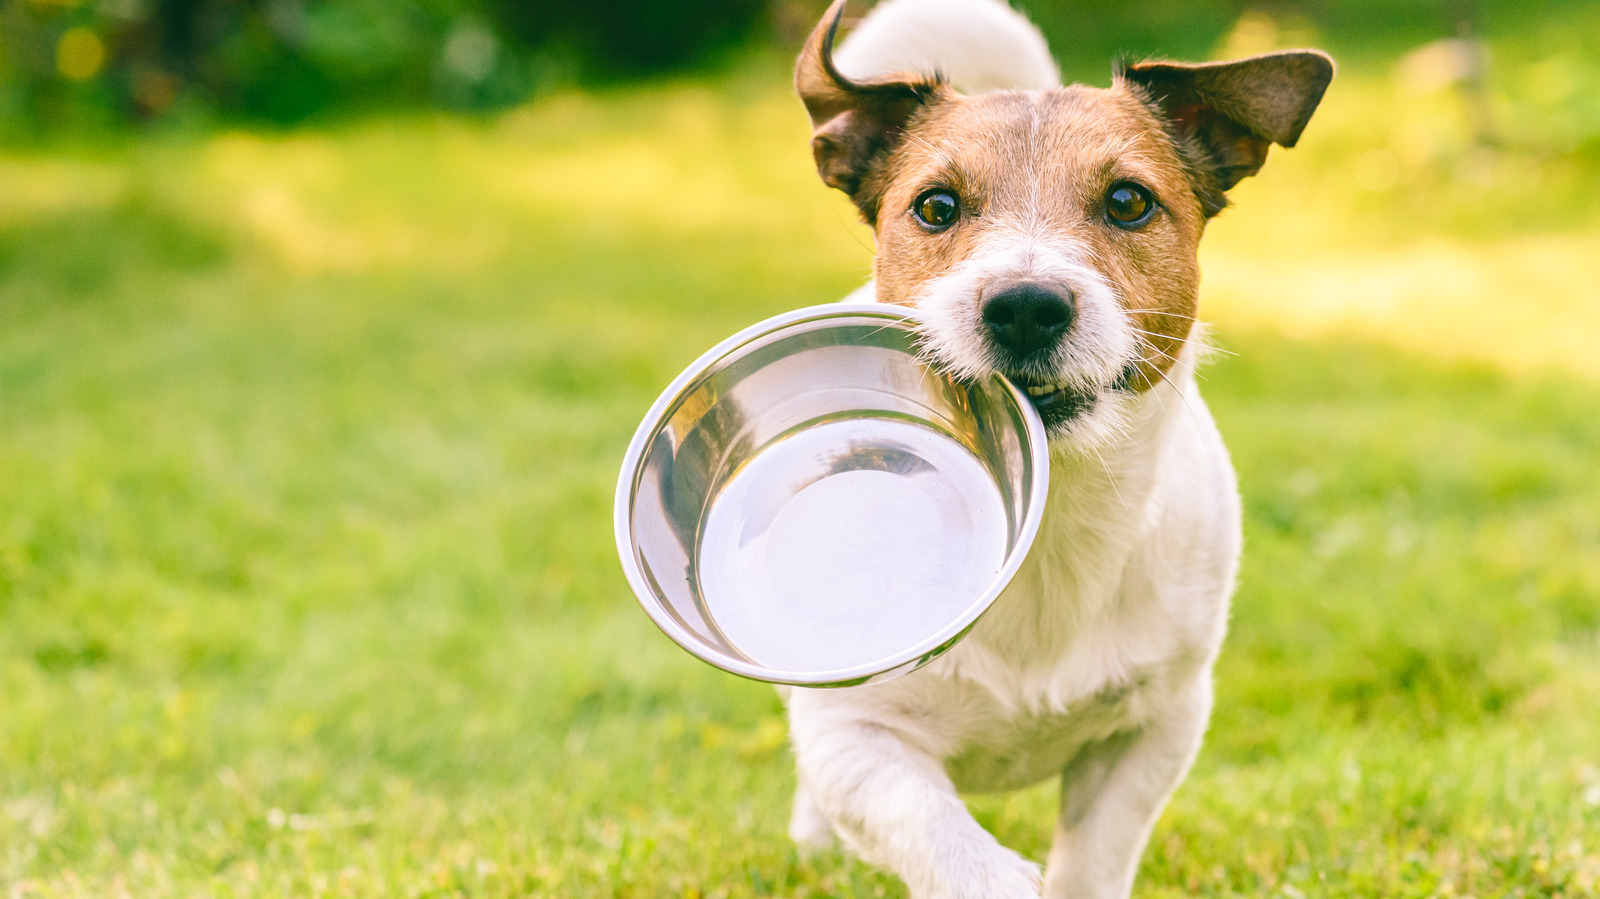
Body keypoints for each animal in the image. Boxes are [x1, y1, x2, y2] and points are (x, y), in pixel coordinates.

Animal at [780, 1, 1331, 895]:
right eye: (935, 207)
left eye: (1129, 201)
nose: (1026, 306)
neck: (1051, 516)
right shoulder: (856, 736)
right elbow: (942, 837)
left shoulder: (1156, 728)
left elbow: (1094, 856)